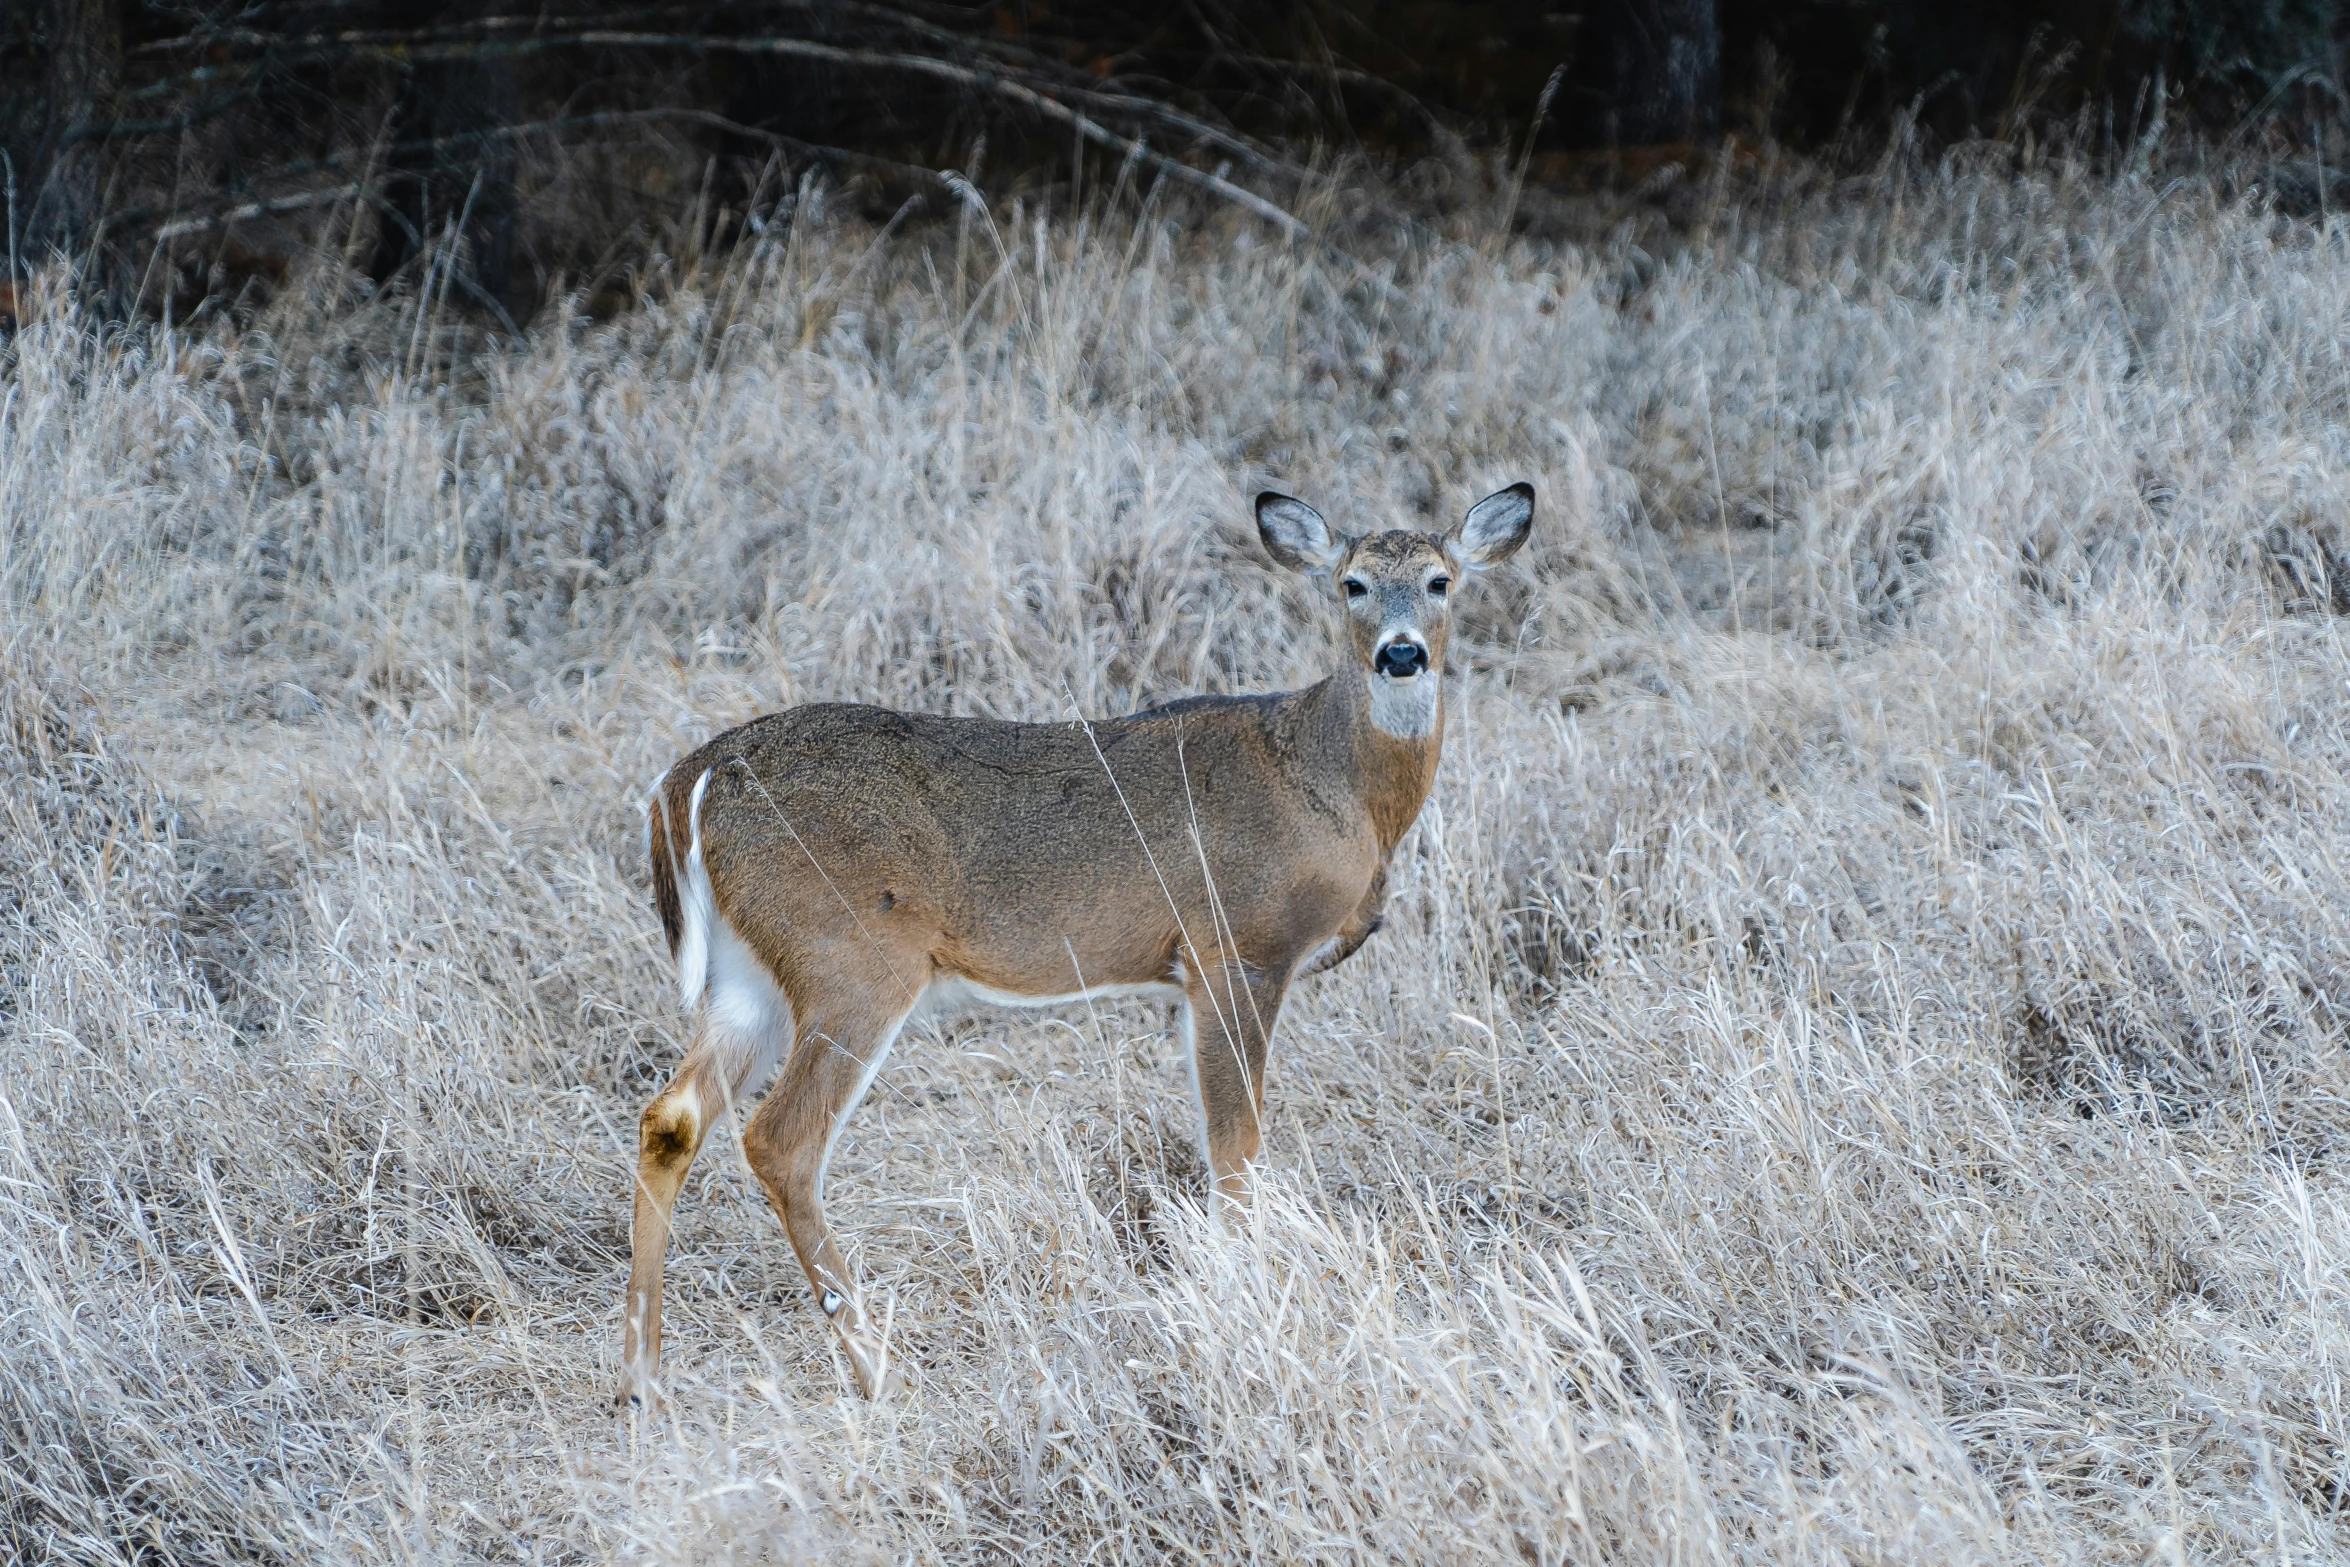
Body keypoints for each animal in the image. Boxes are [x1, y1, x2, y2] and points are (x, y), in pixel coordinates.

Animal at [629, 479, 1541, 1400]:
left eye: (1441, 580)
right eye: (1351, 583)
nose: (1401, 654)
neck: (1331, 782)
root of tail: (695, 777)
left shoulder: (1195, 973)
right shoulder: (1238, 947)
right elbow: (1236, 1150)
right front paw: (1245, 1297)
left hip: (752, 977)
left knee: (670, 1117)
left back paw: (644, 1372)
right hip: (853, 958)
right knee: (781, 1140)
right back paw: (875, 1365)